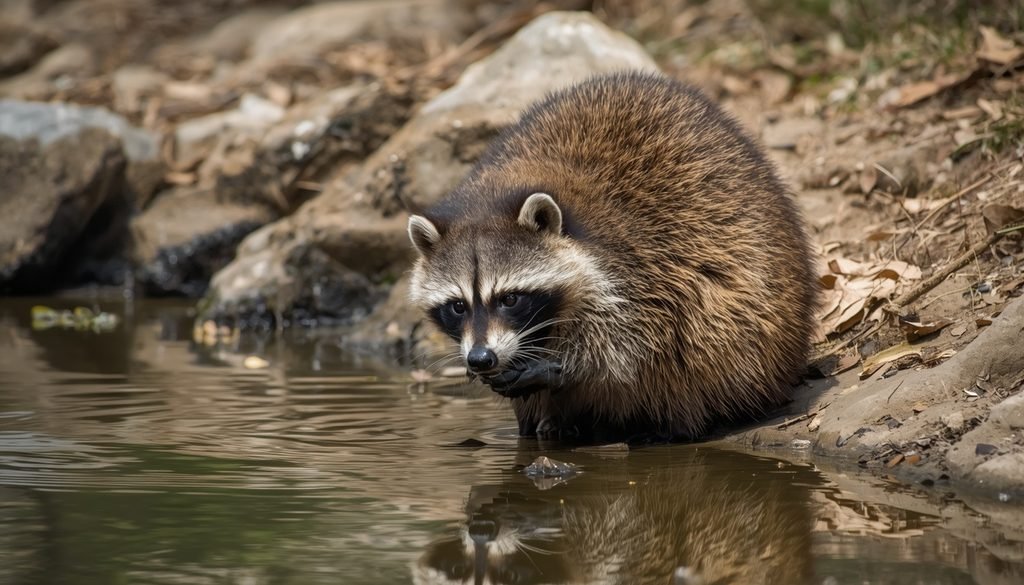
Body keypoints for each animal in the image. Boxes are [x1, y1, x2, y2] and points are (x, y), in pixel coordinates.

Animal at [407, 72, 817, 440]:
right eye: (457, 305)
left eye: (509, 299)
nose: (481, 358)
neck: (492, 200)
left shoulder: (639, 255)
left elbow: (637, 338)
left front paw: (567, 366)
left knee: (711, 325)